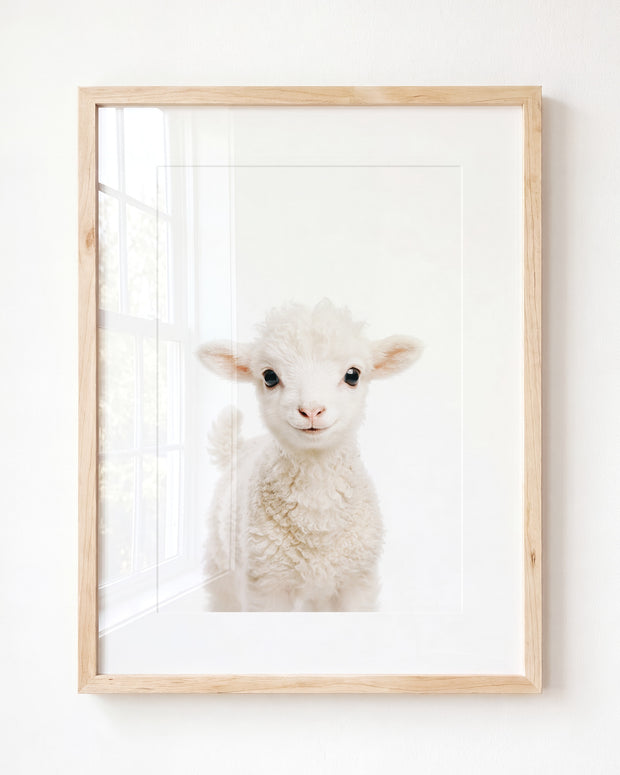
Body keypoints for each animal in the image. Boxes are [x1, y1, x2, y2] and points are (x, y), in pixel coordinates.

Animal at [197, 299, 422, 612]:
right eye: (269, 376)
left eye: (353, 375)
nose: (311, 410)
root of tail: (240, 447)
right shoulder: (266, 585)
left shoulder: (357, 581)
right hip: (222, 568)